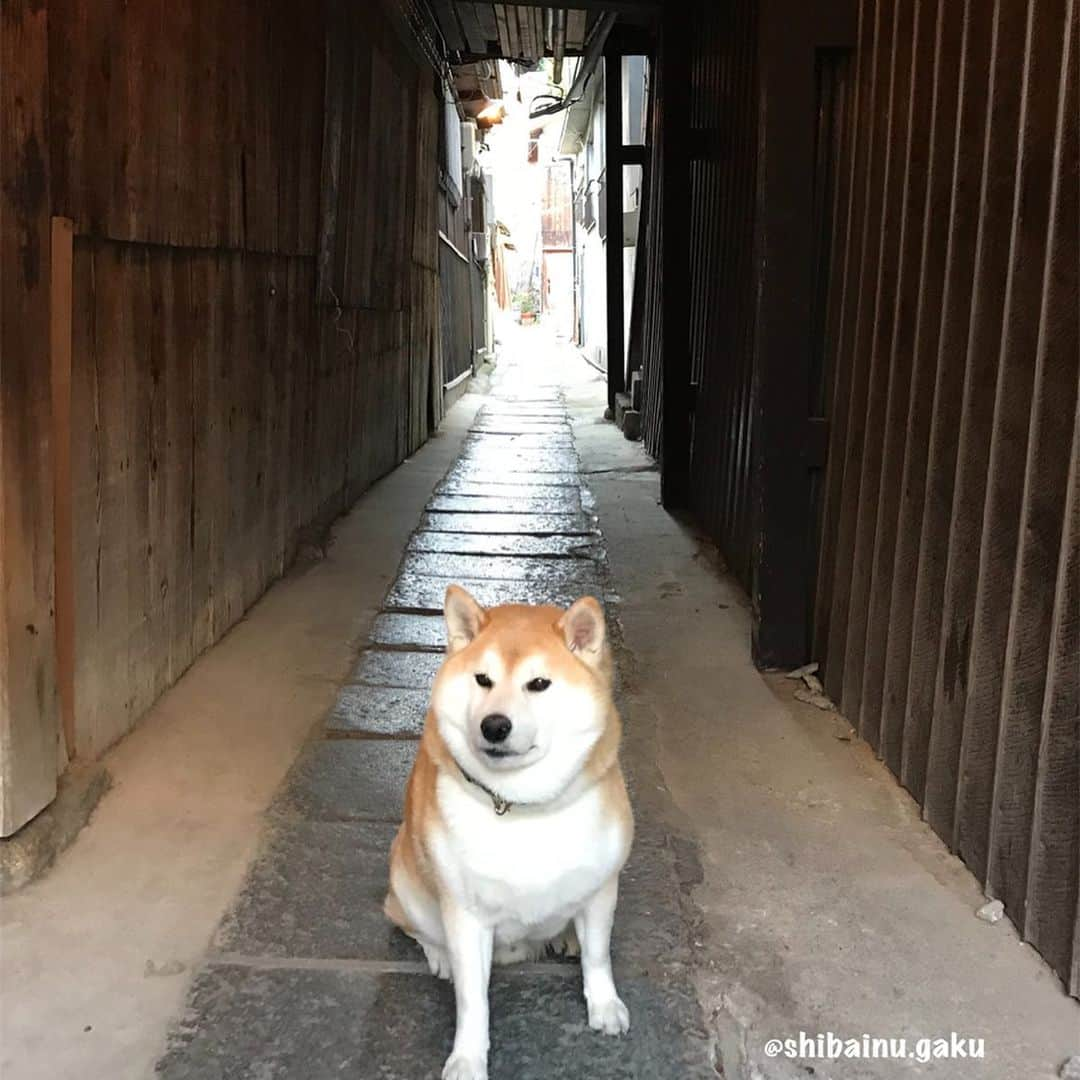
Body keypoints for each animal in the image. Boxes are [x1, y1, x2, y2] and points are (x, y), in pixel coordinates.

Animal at [384, 587, 630, 1080]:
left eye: (538, 684)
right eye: (482, 679)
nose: (494, 725)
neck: (522, 806)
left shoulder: (601, 888)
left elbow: (598, 955)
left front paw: (604, 1004)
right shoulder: (465, 915)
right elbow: (472, 1000)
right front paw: (467, 1058)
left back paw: (565, 937)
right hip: (406, 877)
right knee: (412, 925)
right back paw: (438, 955)